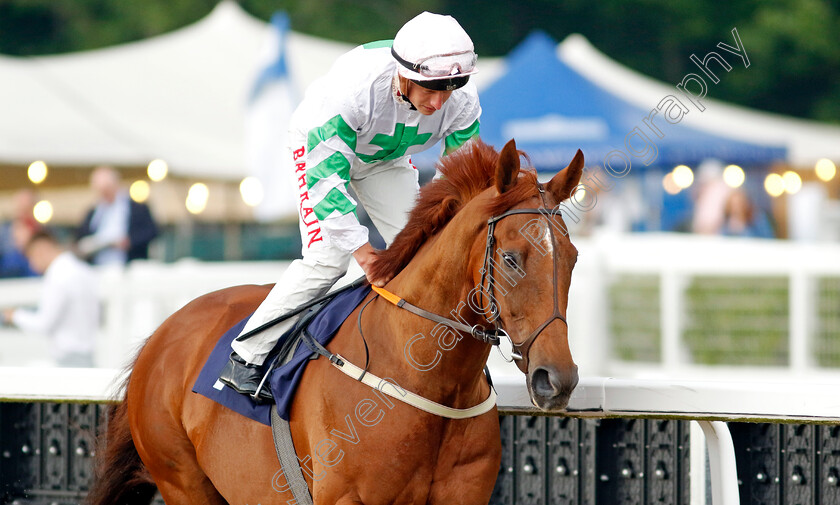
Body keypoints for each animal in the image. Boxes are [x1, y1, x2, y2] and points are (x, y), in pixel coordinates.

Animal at [87, 139, 584, 504]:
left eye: (574, 256)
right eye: (511, 258)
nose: (556, 378)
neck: (425, 375)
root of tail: (163, 332)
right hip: (182, 480)